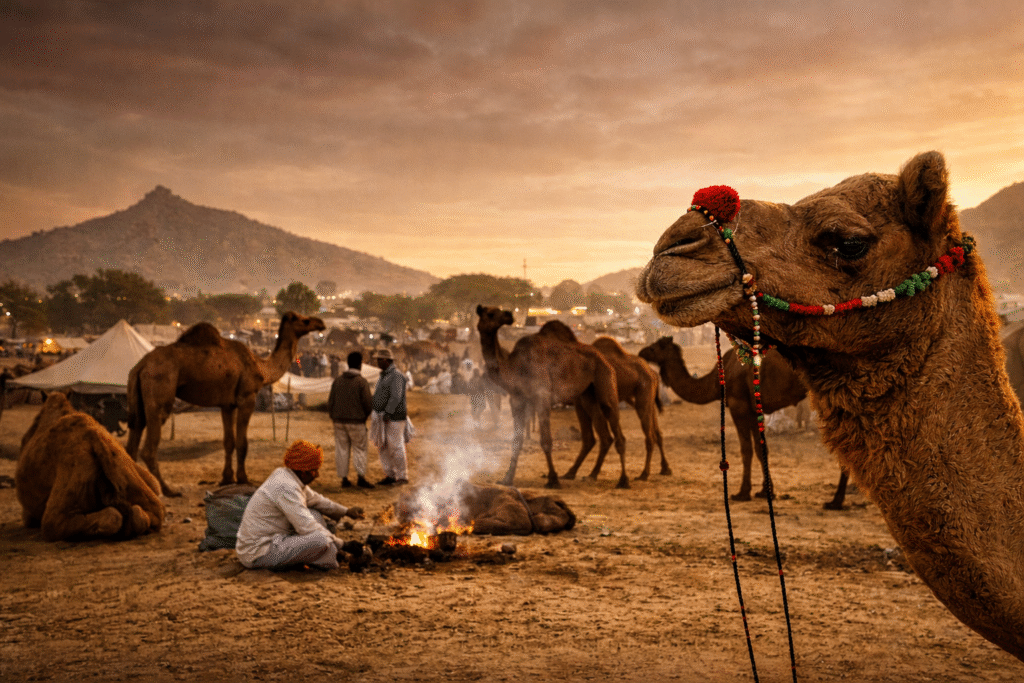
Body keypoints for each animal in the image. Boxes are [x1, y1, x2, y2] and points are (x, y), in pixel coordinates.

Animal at [126, 311, 326, 496]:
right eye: (305, 320)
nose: (321, 323)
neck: (261, 367)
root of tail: (140, 366)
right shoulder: (247, 398)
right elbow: (242, 443)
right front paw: (243, 478)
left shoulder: (227, 404)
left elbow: (228, 441)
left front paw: (226, 478)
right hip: (160, 392)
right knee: (149, 447)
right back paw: (168, 490)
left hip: (138, 399)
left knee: (134, 435)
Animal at [475, 305, 628, 488]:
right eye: (490, 313)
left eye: (497, 311)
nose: (509, 315)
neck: (515, 366)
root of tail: (604, 359)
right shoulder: (517, 399)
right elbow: (516, 440)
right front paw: (507, 478)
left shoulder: (542, 397)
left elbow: (546, 440)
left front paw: (553, 479)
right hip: (586, 395)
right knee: (603, 435)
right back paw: (586, 475)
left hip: (604, 378)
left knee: (615, 427)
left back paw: (623, 480)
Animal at [636, 151, 1024, 662]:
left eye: (848, 242)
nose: (674, 245)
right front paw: (758, 491)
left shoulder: (740, 402)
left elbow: (750, 449)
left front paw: (749, 492)